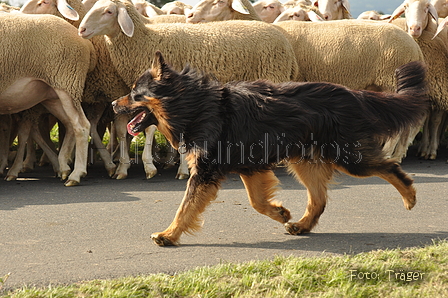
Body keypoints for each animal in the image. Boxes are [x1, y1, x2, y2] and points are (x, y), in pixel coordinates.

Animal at [0, 14, 96, 186]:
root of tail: (85, 41)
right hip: (53, 94)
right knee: (69, 124)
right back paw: (63, 166)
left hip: (68, 82)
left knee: (82, 126)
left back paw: (76, 174)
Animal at [112, 51, 428, 247]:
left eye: (134, 93)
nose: (113, 104)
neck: (192, 105)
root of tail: (354, 94)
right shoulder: (249, 167)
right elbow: (256, 202)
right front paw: (281, 213)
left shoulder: (205, 172)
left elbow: (185, 207)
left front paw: (168, 234)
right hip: (305, 161)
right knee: (319, 199)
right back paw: (301, 225)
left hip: (348, 157)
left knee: (389, 166)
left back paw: (410, 196)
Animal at [390, 0, 448, 161]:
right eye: (405, 7)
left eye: (427, 8)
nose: (414, 28)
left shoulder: (439, 90)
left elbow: (434, 121)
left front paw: (431, 150)